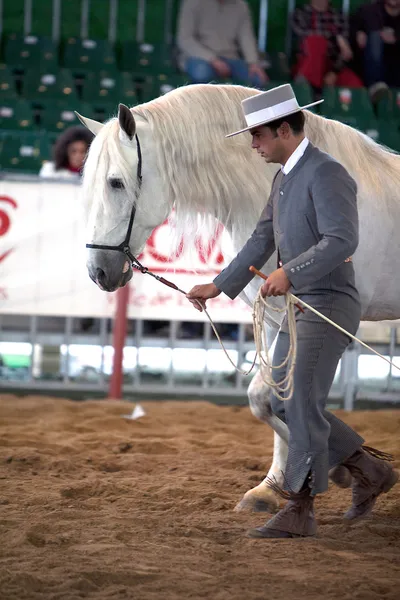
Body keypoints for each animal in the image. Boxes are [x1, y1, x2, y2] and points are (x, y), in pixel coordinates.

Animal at [78, 82, 400, 512]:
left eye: (115, 182)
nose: (98, 271)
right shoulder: (275, 318)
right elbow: (270, 398)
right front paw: (273, 486)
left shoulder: (328, 321)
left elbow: (282, 398)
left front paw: (337, 466)